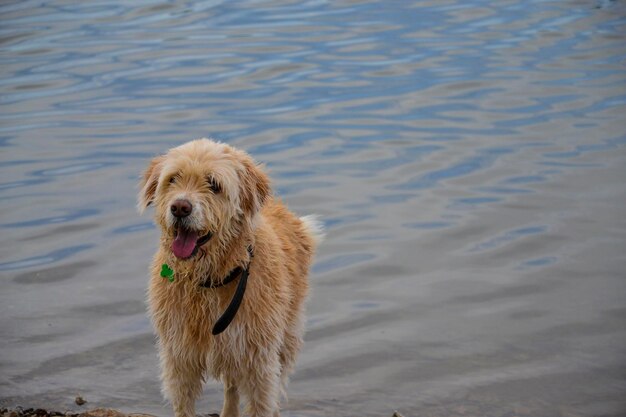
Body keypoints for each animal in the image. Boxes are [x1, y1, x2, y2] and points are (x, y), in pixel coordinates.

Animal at [137, 139, 322, 416]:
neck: (208, 279)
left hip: (287, 336)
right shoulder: (179, 357)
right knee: (232, 386)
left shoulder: (258, 360)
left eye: (214, 184)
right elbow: (185, 403)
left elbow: (262, 402)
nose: (180, 207)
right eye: (173, 179)